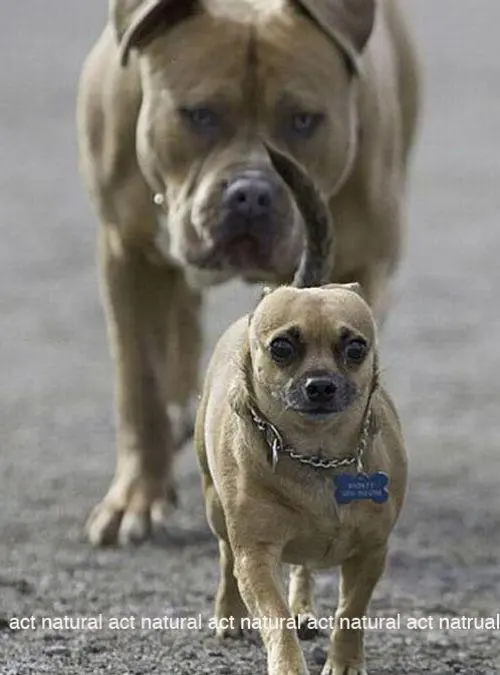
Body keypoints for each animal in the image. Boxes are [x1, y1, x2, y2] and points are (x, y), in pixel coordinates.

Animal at [77, 0, 419, 546]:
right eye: (199, 115)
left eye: (303, 120)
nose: (252, 193)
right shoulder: (126, 252)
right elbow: (140, 383)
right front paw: (137, 499)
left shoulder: (360, 270)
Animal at [195, 278, 407, 674]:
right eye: (281, 347)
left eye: (356, 348)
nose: (320, 384)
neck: (316, 455)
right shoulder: (256, 555)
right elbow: (274, 618)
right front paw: (288, 665)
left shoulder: (372, 550)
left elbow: (351, 610)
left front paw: (345, 662)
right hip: (216, 509)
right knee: (227, 557)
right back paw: (231, 614)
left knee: (302, 568)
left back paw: (303, 611)